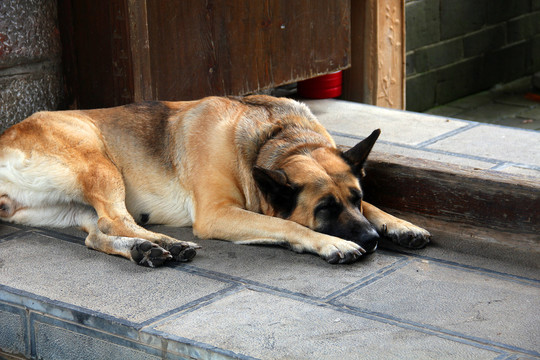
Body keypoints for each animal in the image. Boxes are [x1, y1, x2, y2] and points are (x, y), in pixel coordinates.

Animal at [0, 96, 430, 268]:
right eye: (324, 209)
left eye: (355, 198)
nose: (372, 240)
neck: (278, 138)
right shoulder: (217, 213)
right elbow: (288, 224)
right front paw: (332, 243)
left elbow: (374, 207)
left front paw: (399, 224)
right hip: (99, 165)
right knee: (117, 220)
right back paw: (166, 244)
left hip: (74, 205)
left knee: (97, 233)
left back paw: (144, 250)